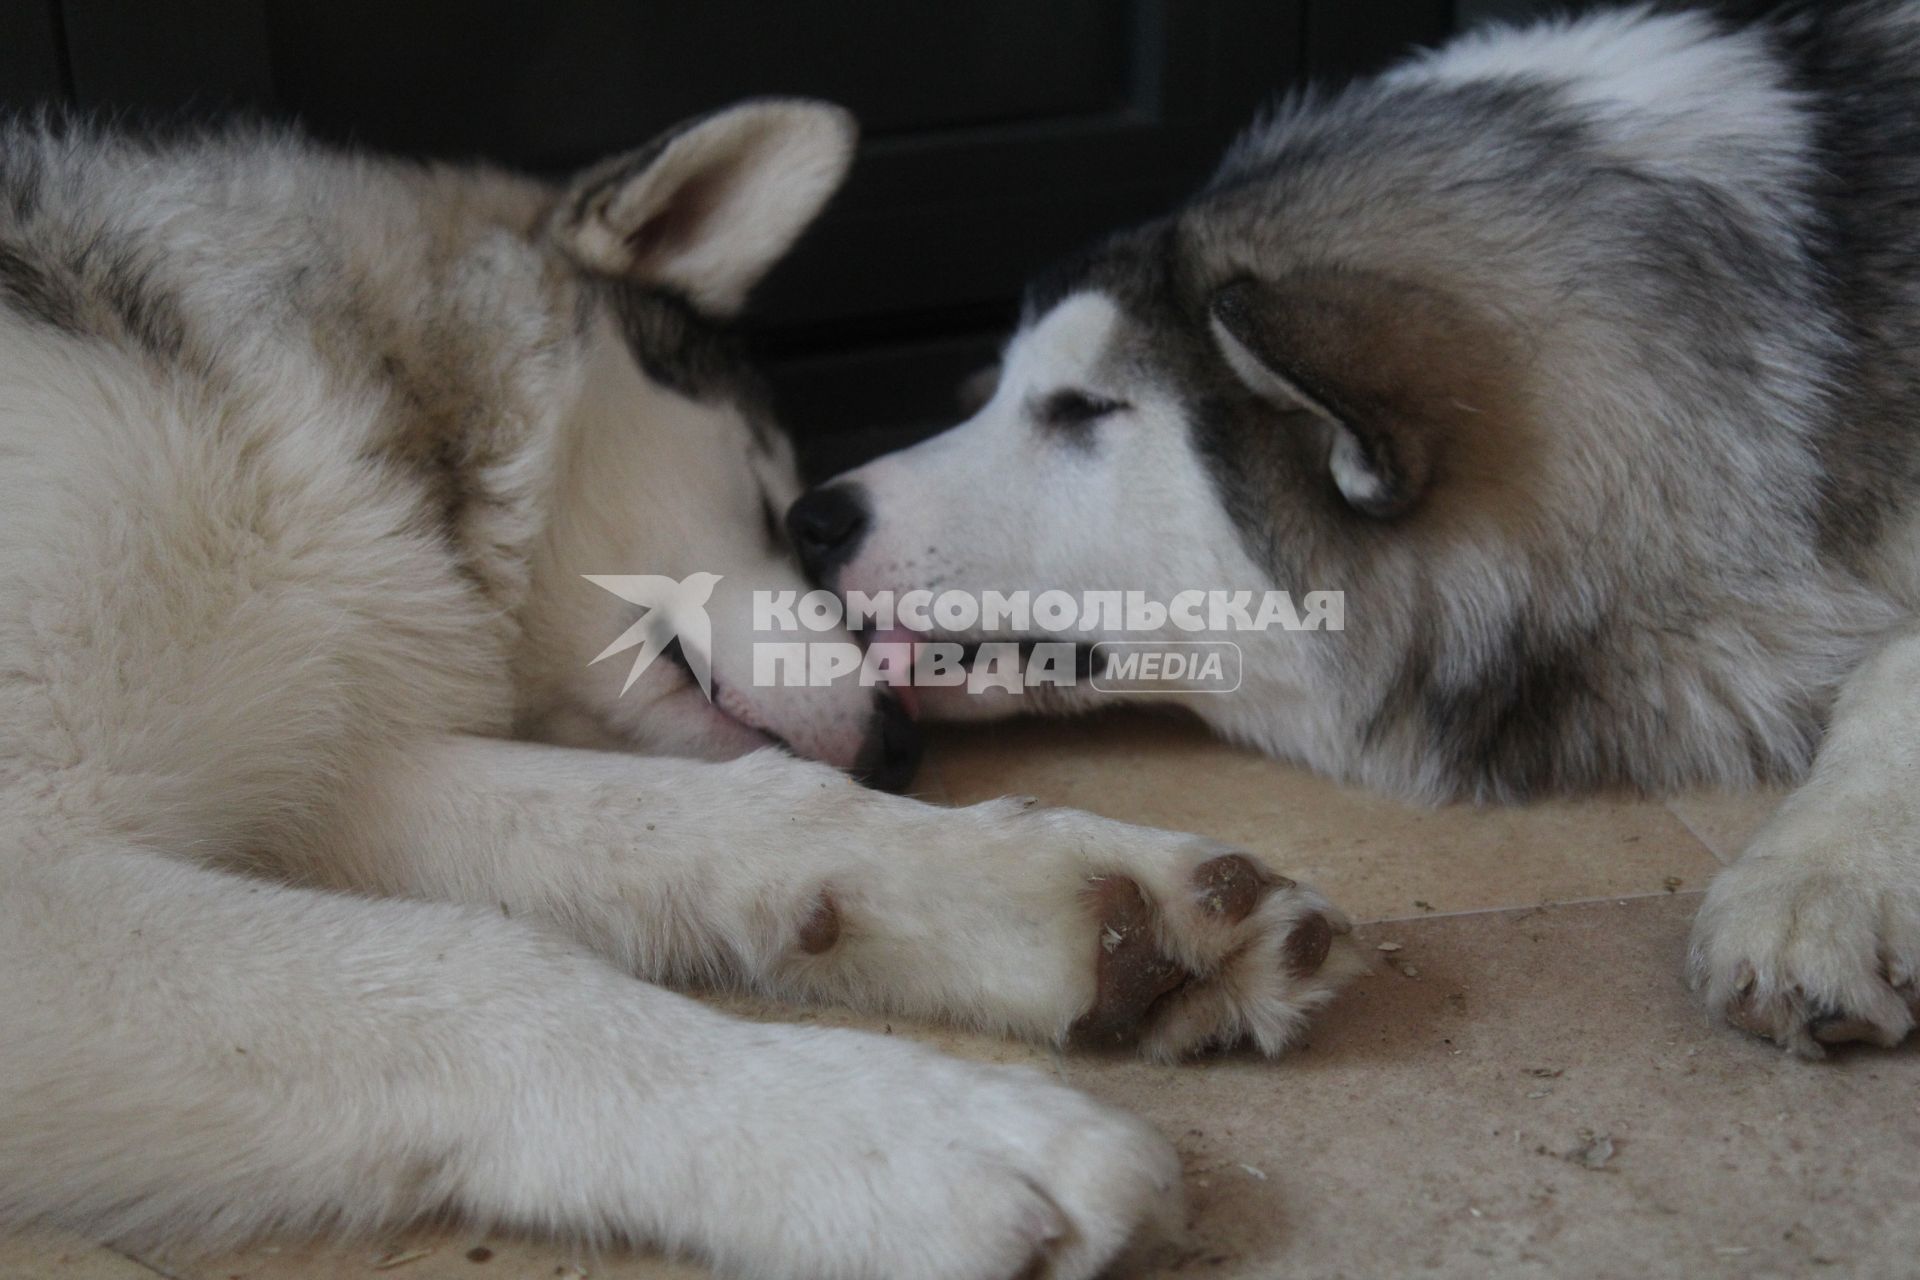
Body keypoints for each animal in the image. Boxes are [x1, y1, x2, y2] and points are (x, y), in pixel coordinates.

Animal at [0, 107, 1367, 1274]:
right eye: (776, 505)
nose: (901, 745)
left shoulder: (324, 757)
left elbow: (715, 814)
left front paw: (1074, 898)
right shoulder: (59, 874)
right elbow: (472, 959)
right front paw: (890, 1132)